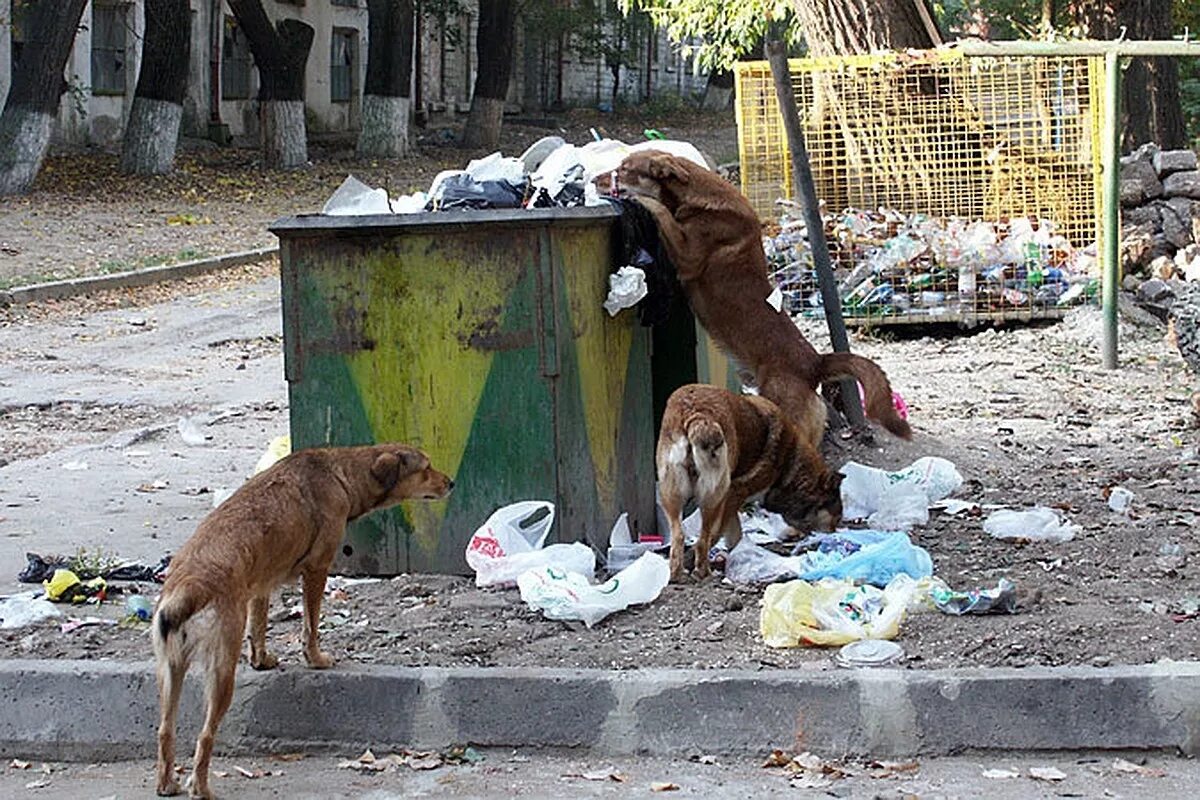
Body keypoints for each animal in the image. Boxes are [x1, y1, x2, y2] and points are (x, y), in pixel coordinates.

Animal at [150, 443, 451, 800]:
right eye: (426, 468)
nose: (451, 483)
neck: (341, 471)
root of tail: (188, 586)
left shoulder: (259, 585)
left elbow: (259, 627)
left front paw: (262, 660)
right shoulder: (317, 569)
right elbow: (310, 624)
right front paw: (316, 659)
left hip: (170, 671)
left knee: (165, 729)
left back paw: (167, 783)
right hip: (220, 672)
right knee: (205, 735)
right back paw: (201, 787)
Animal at [614, 151, 912, 450]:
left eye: (624, 169)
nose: (604, 179)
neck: (694, 194)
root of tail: (815, 364)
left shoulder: (687, 256)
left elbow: (662, 212)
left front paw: (644, 201)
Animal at [657, 383, 844, 582]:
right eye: (838, 518)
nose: (834, 538)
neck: (789, 462)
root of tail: (696, 413)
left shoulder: (731, 499)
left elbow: (734, 534)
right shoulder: (734, 493)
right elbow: (717, 535)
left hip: (672, 495)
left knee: (679, 536)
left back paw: (676, 574)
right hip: (712, 497)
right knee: (702, 540)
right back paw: (703, 572)